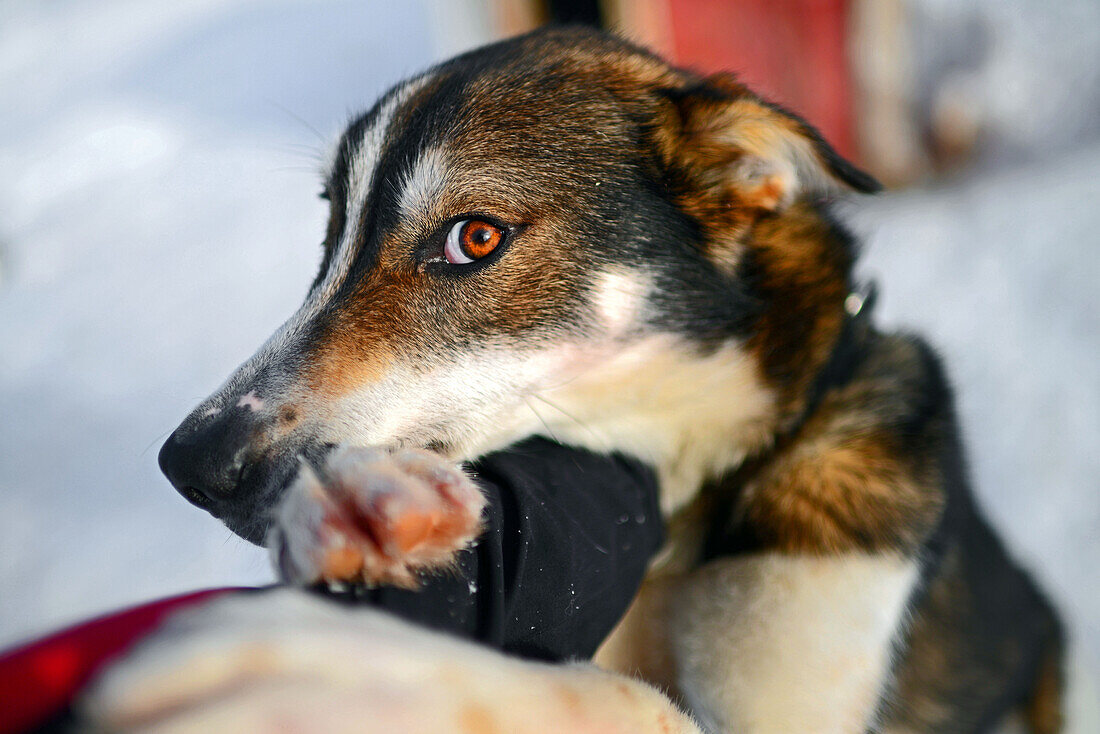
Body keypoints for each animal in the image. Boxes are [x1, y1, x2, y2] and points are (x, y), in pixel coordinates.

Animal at [103, 27, 1064, 734]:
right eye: (331, 236)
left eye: (475, 237)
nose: (191, 463)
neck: (686, 510)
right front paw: (358, 511)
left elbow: (626, 702)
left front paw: (353, 679)